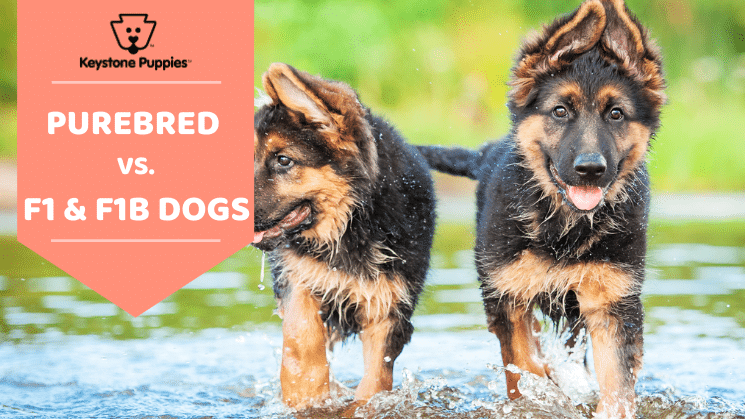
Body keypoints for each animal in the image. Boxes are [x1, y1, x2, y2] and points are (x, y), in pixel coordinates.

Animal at [251, 63, 434, 410]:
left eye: (283, 160)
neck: (351, 226)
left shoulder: (388, 305)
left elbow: (375, 382)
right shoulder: (298, 277)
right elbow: (302, 338)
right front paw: (307, 394)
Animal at [416, 0, 664, 416]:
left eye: (616, 114)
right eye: (560, 111)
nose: (590, 169)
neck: (564, 228)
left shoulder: (613, 301)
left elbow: (616, 382)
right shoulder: (508, 295)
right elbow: (526, 366)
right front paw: (543, 397)